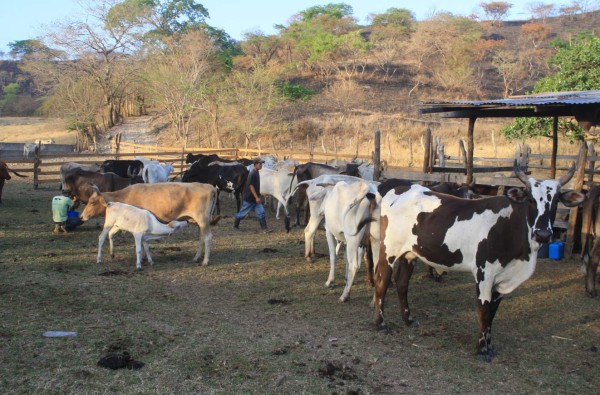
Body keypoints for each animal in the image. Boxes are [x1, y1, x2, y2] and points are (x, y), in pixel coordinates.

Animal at [79, 183, 220, 266]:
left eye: (92, 202)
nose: (81, 216)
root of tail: (210, 187)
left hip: (202, 220)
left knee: (207, 237)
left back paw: (205, 261)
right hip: (199, 222)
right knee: (201, 238)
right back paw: (196, 258)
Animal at [372, 166, 584, 364]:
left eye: (556, 200)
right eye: (531, 199)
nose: (543, 234)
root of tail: (400, 188)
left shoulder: (501, 280)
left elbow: (492, 313)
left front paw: (489, 346)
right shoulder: (484, 274)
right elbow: (484, 310)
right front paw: (481, 349)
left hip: (410, 253)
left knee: (402, 284)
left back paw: (408, 319)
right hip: (389, 250)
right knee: (382, 282)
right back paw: (380, 324)